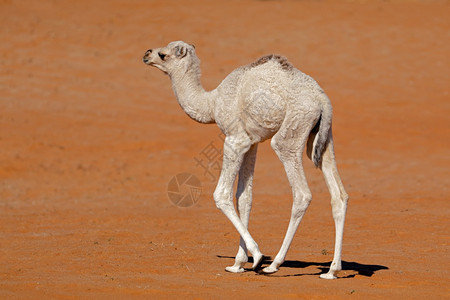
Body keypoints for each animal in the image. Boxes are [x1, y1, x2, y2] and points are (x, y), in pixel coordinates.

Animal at [143, 40, 348, 278]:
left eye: (163, 54)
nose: (146, 54)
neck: (212, 102)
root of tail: (322, 100)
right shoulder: (251, 143)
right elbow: (244, 197)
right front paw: (237, 263)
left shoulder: (235, 139)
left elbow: (221, 194)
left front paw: (257, 257)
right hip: (322, 136)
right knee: (339, 194)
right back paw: (332, 270)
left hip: (292, 131)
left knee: (301, 192)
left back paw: (274, 264)